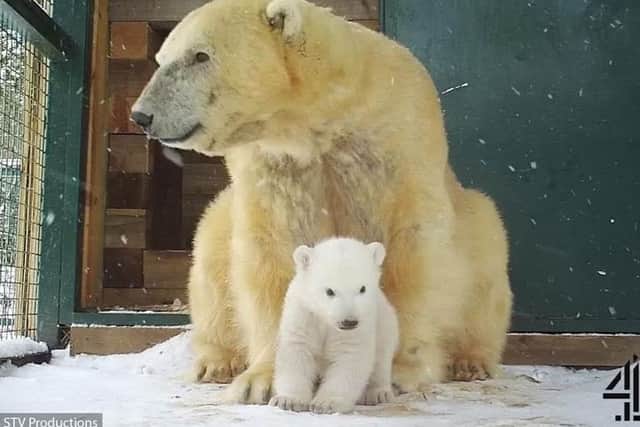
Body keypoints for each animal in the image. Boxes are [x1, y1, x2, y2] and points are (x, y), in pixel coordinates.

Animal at [268, 238, 398, 414]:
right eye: (329, 291)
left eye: (362, 288)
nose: (349, 321)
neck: (326, 320)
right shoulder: (303, 314)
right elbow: (296, 351)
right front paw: (288, 400)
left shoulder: (362, 324)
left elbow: (349, 356)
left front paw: (326, 403)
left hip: (385, 323)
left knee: (381, 359)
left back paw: (378, 393)